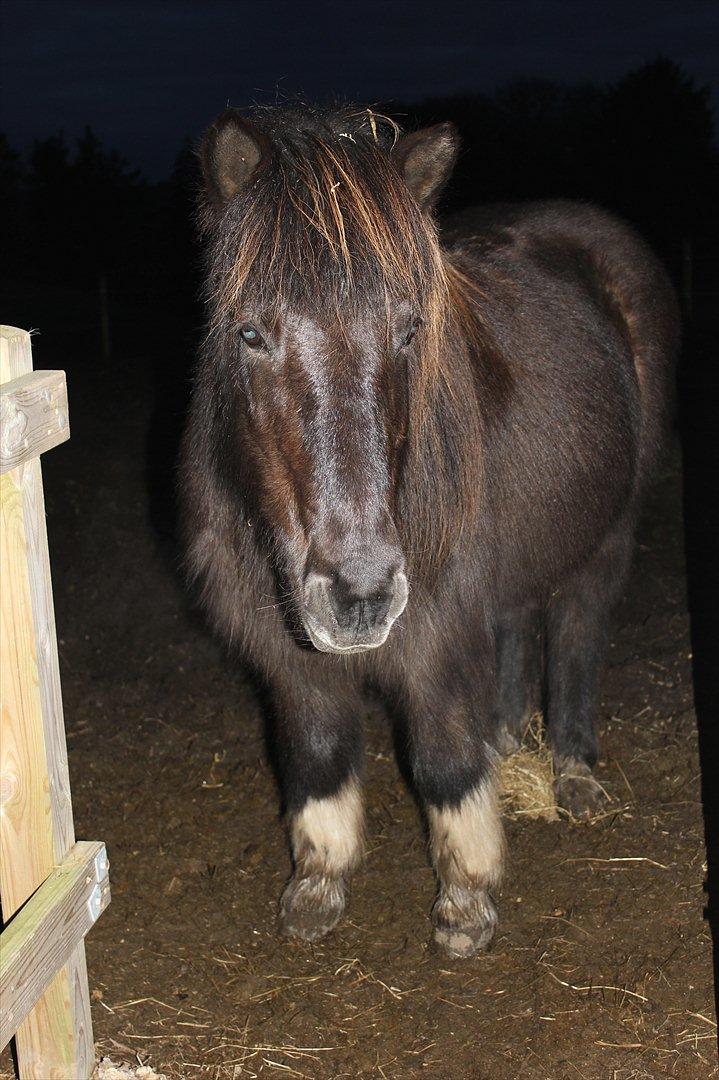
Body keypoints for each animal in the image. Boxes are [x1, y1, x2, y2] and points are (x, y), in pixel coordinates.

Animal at [175, 105, 673, 959]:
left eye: (409, 330)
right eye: (248, 334)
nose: (360, 596)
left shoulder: (436, 633)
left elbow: (443, 758)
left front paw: (466, 900)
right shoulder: (283, 647)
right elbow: (317, 754)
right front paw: (319, 882)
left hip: (607, 537)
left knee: (577, 634)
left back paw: (573, 773)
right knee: (516, 625)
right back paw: (508, 737)